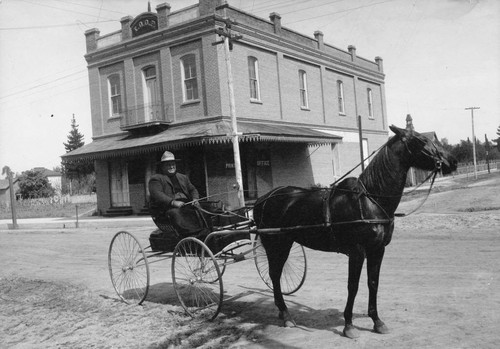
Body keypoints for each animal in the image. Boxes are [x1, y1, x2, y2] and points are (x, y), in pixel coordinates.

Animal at [254, 125, 458, 338]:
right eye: (420, 140)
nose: (452, 161)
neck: (370, 200)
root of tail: (261, 200)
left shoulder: (377, 250)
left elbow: (373, 283)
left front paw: (377, 321)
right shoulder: (357, 251)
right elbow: (353, 286)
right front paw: (349, 325)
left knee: (275, 276)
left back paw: (281, 312)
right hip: (277, 245)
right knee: (274, 275)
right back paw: (286, 315)